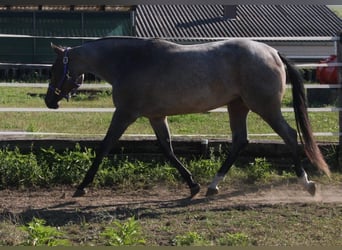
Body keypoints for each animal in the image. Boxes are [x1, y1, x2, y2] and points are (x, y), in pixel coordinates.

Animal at [44, 36, 330, 197]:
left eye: (54, 69)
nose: (49, 101)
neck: (129, 61)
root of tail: (272, 52)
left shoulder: (125, 114)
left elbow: (104, 146)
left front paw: (81, 186)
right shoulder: (156, 117)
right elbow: (167, 149)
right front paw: (192, 185)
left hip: (264, 106)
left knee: (289, 135)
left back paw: (307, 184)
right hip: (237, 106)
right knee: (240, 140)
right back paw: (212, 186)